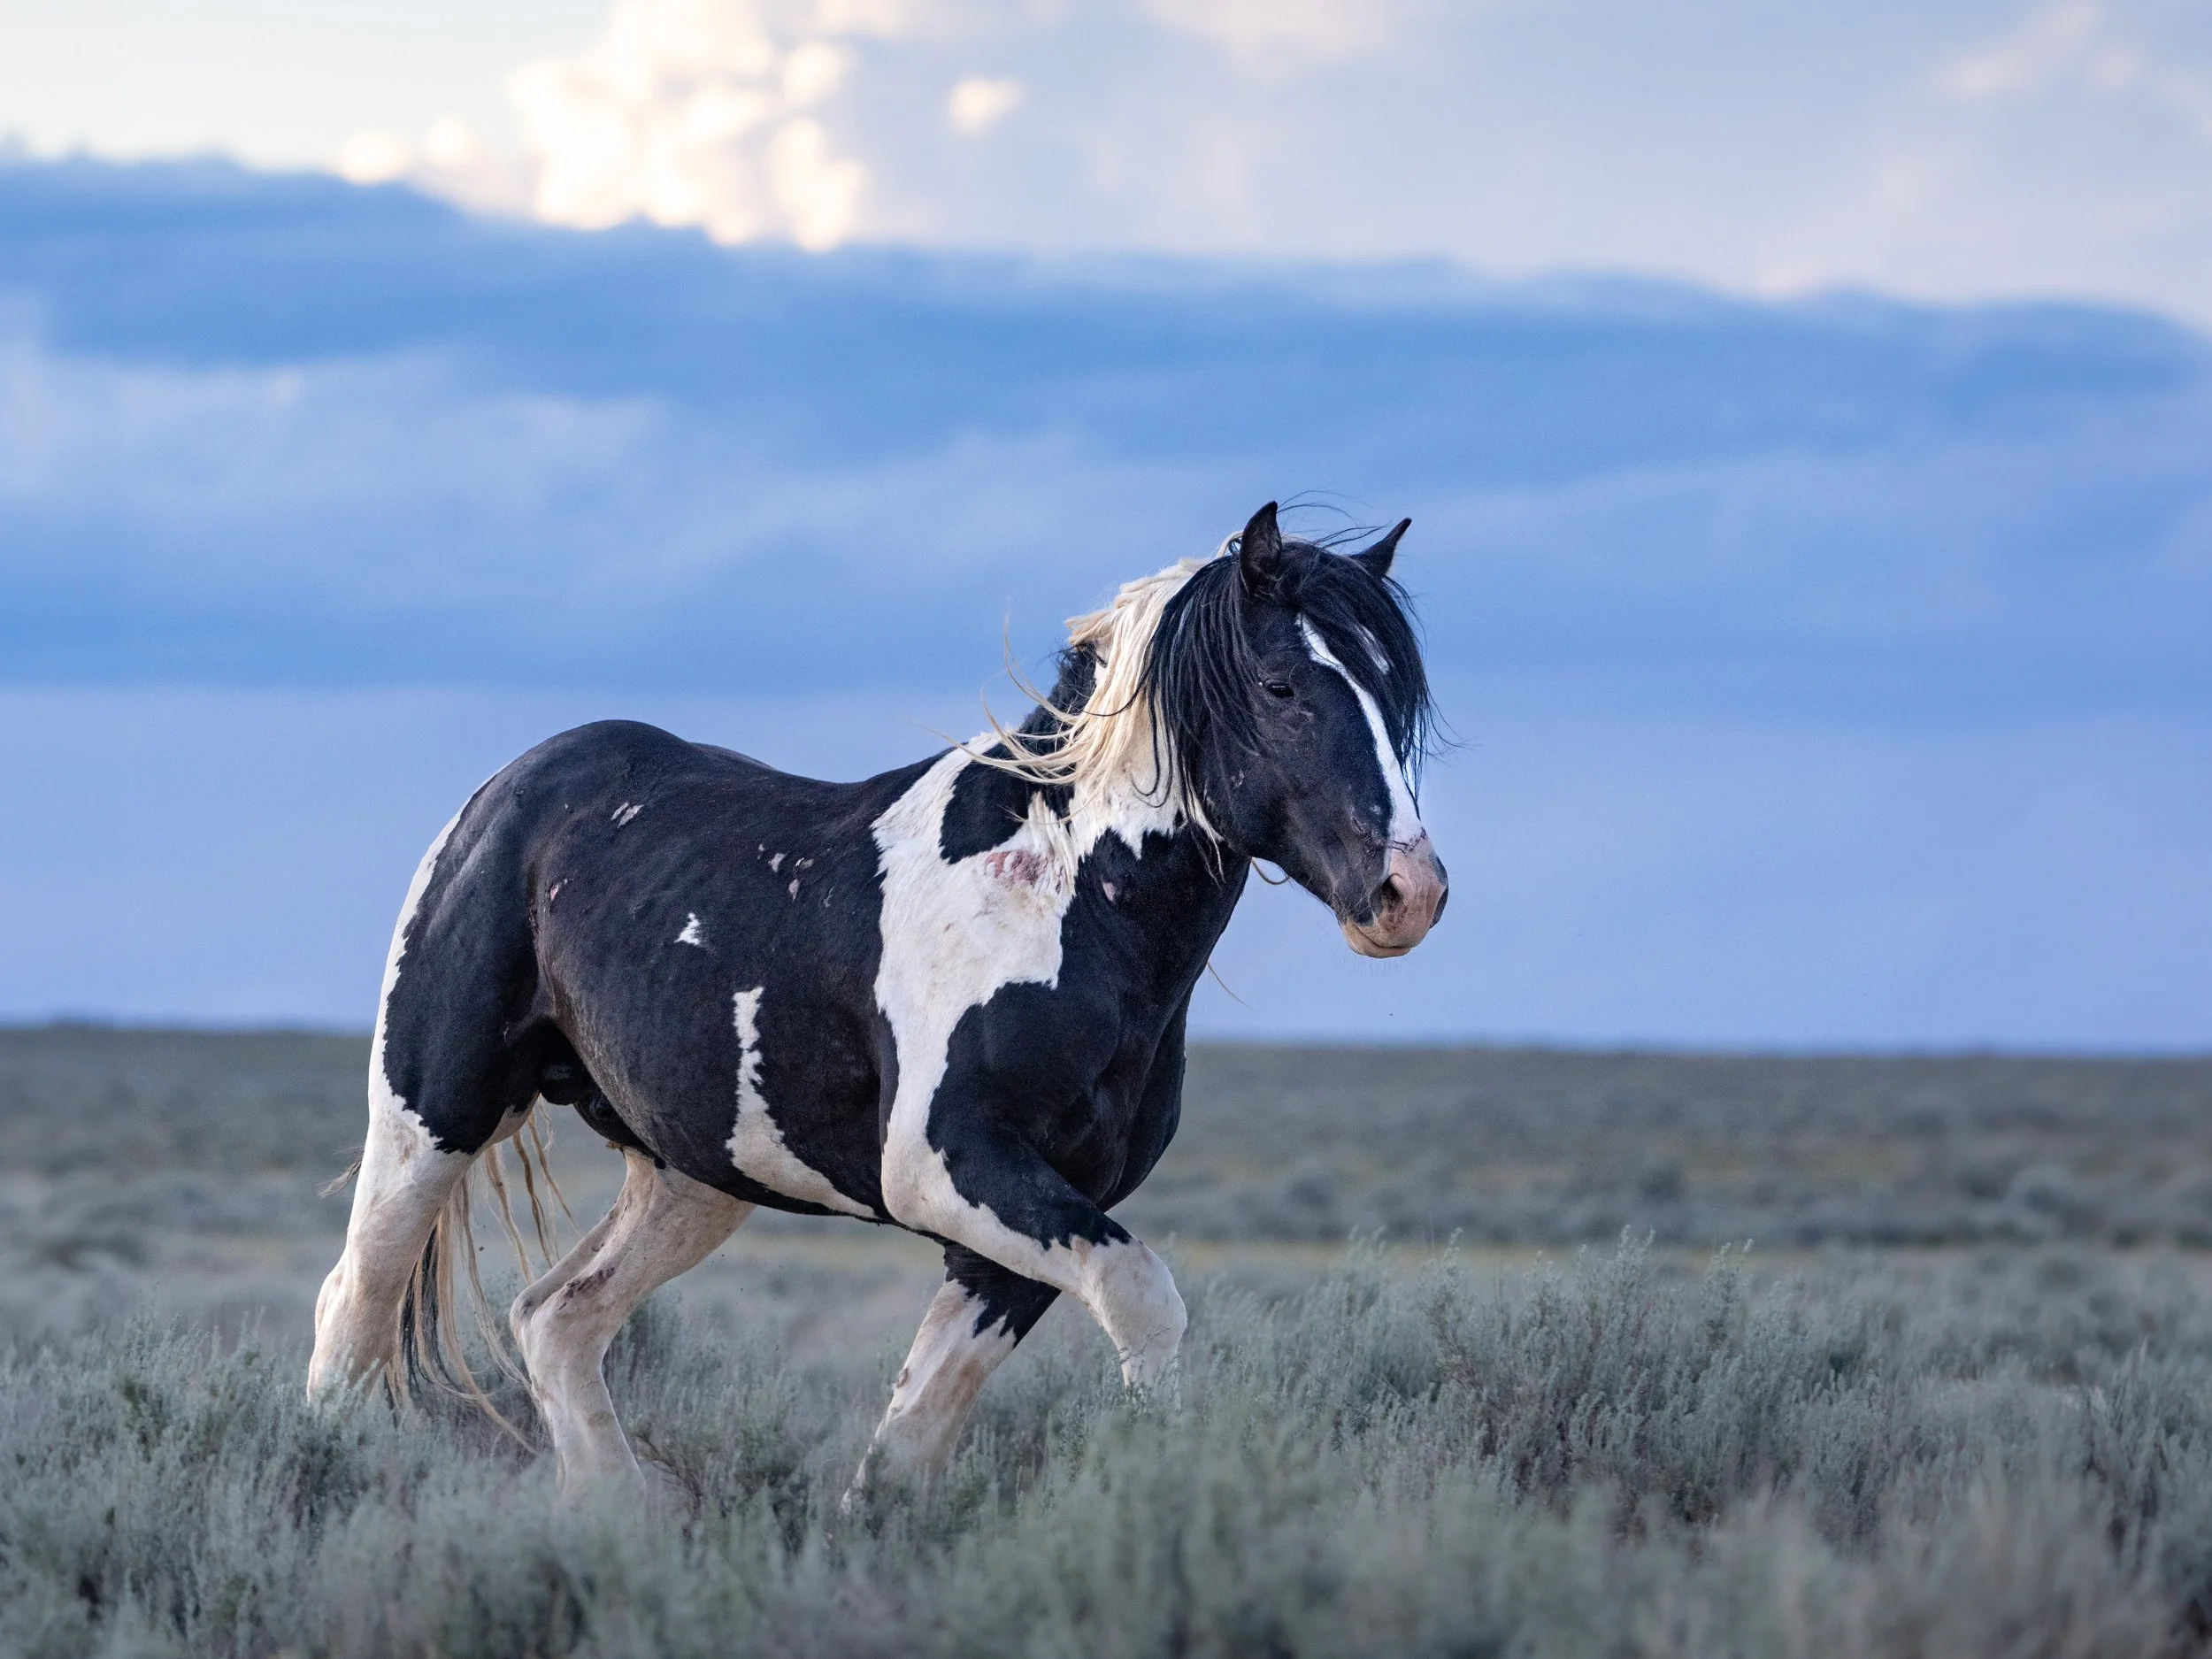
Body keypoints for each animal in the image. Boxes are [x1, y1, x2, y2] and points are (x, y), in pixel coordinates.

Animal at [306, 502, 1448, 1496]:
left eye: (1398, 697)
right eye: (1281, 687)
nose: (1409, 893)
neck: (1063, 906)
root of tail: (510, 788)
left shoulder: (1023, 1228)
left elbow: (907, 1443)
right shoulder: (946, 1167)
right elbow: (1146, 1304)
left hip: (692, 1171)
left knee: (555, 1321)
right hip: (434, 1112)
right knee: (353, 1314)